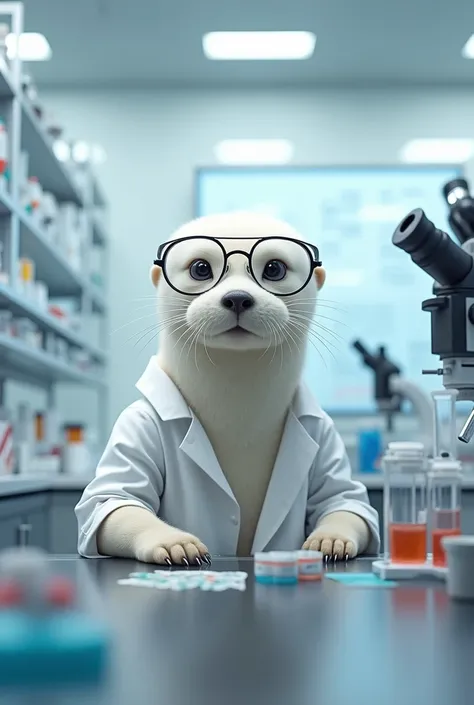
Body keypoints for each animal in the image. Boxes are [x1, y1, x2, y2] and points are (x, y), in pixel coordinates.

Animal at [87, 212, 380, 564]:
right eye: (200, 268)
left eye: (274, 268)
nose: (238, 297)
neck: (238, 417)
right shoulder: (137, 423)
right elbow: (113, 501)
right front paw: (173, 542)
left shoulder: (325, 433)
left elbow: (345, 501)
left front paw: (330, 539)